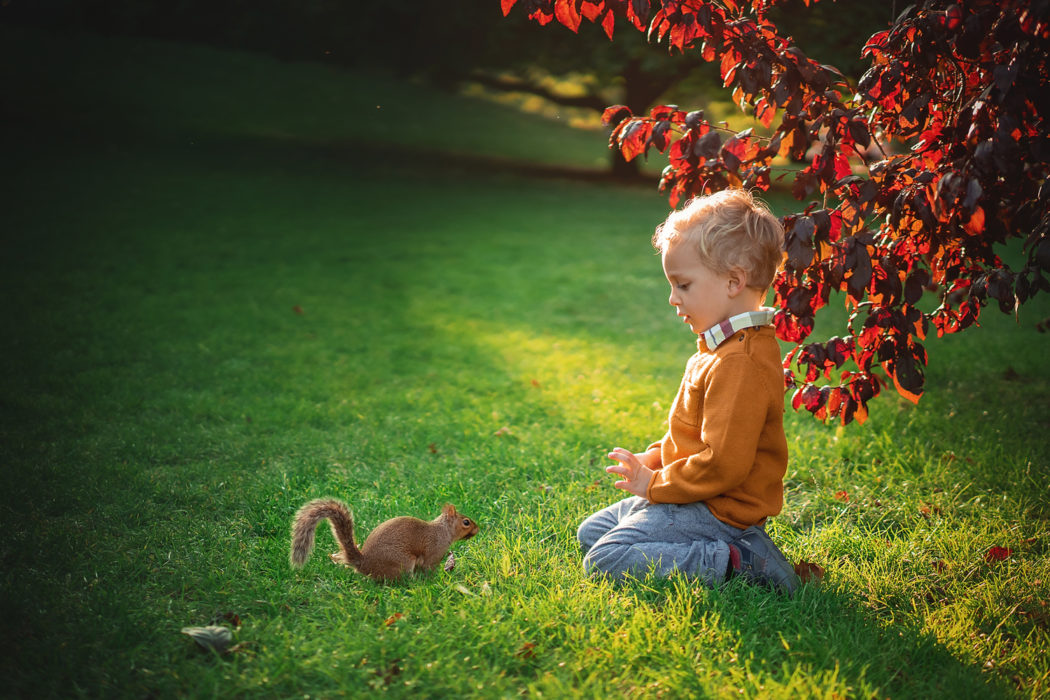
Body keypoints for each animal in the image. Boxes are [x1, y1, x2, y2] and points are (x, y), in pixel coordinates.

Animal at [291, 501, 480, 583]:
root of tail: (364, 564)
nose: (478, 529)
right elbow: (429, 569)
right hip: (401, 563)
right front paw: (436, 579)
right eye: (466, 522)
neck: (443, 530)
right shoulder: (433, 554)